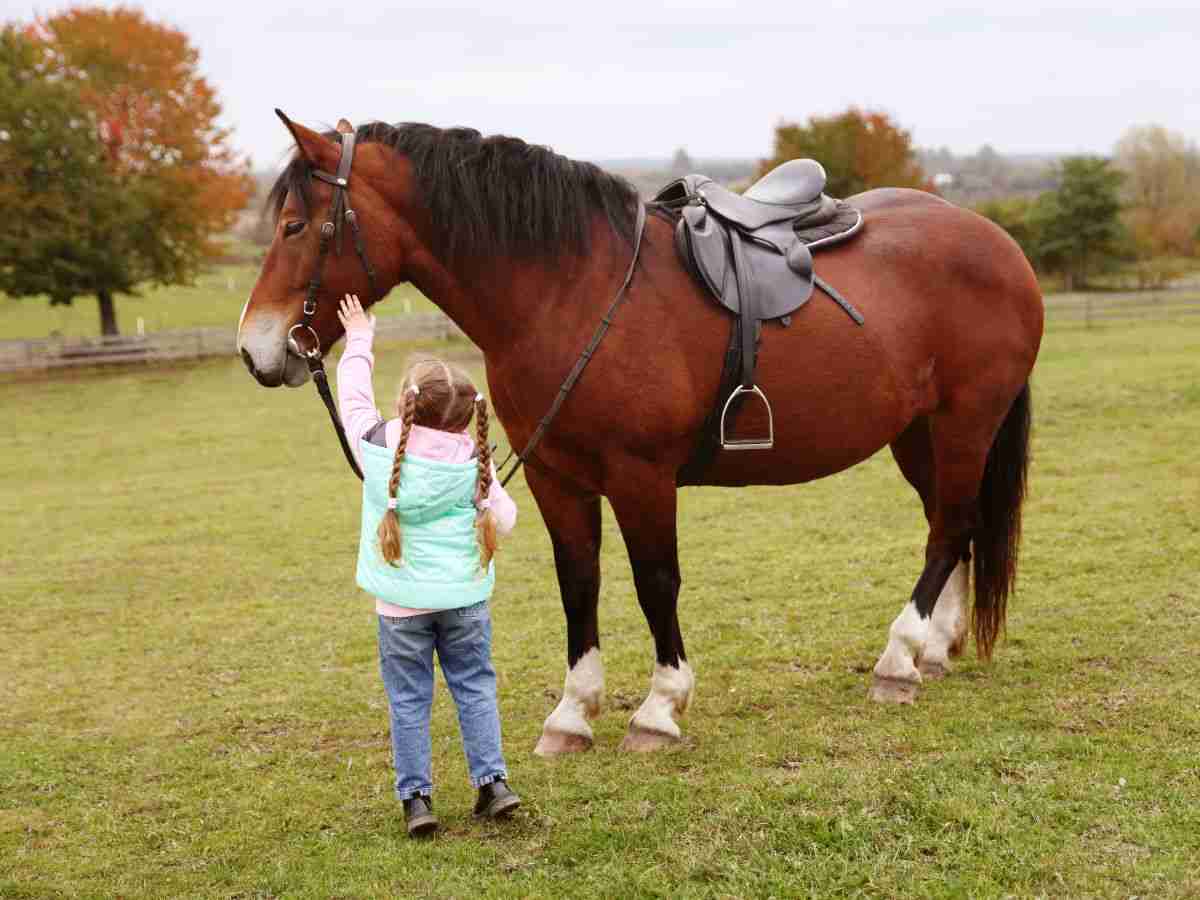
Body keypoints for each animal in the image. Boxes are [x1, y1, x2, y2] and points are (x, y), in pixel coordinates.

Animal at [238, 113, 1043, 754]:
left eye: (295, 226)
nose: (254, 349)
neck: (572, 290)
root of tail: (998, 243)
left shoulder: (641, 476)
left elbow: (657, 581)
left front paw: (660, 707)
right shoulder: (558, 477)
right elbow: (578, 582)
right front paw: (572, 713)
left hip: (966, 422)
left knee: (949, 528)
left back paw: (897, 658)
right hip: (919, 434)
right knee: (954, 524)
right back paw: (934, 649)